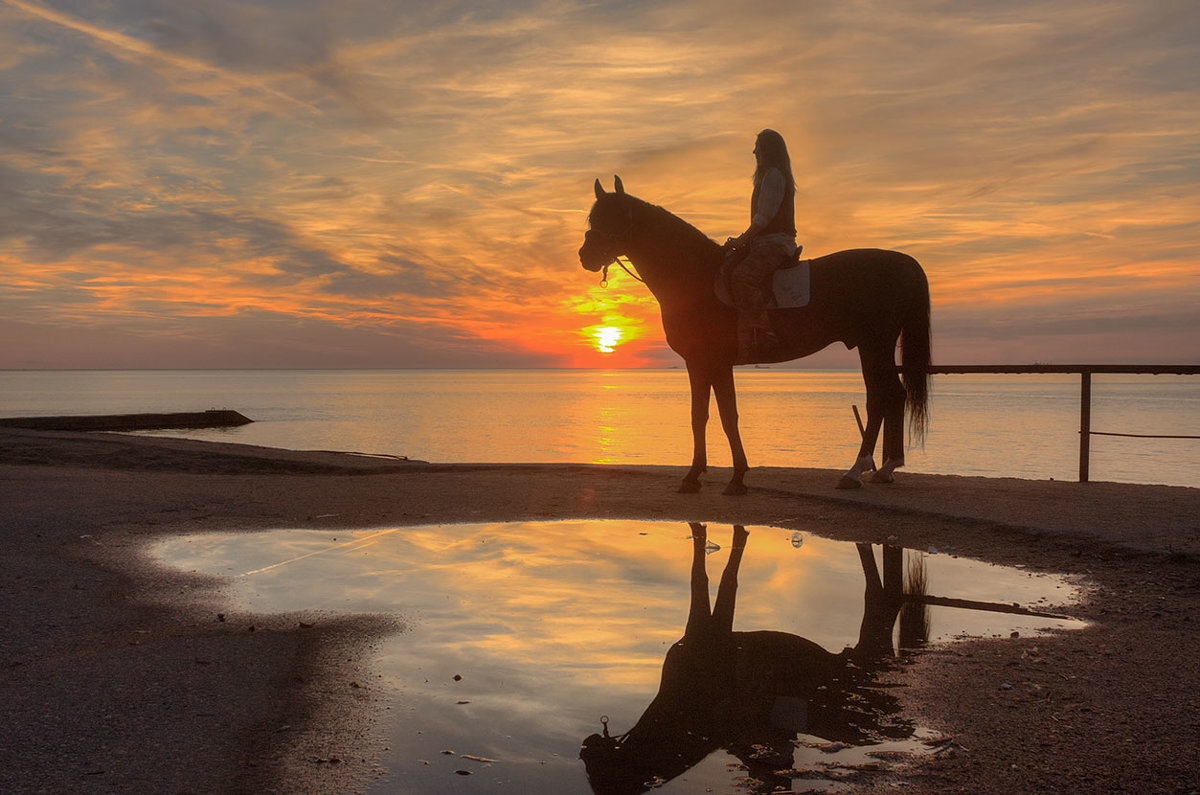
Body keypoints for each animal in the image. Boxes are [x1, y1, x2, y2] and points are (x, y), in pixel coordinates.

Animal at [576, 177, 931, 494]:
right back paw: (885, 469)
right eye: (593, 218)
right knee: (890, 396)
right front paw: (702, 475)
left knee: (881, 398)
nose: (586, 255)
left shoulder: (709, 362)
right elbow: (703, 415)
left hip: (875, 345)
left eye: (618, 216)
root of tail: (905, 261)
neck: (696, 277)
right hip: (871, 347)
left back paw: (856, 471)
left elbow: (722, 416)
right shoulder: (704, 364)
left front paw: (728, 478)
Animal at [580, 525, 916, 792]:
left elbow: (711, 578)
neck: (682, 710)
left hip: (870, 648)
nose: (586, 744)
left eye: (597, 771)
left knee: (881, 598)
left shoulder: (710, 625)